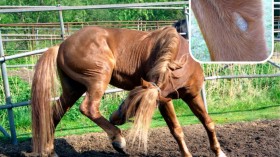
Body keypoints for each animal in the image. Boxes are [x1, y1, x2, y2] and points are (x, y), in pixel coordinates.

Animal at [31, 25, 226, 156]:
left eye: (129, 99)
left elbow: (208, 122)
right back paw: (119, 140)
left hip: (73, 89)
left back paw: (50, 151)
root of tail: (61, 45)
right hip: (98, 79)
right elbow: (177, 130)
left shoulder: (192, 96)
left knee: (55, 113)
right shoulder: (165, 101)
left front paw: (219, 152)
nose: (115, 118)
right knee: (88, 108)